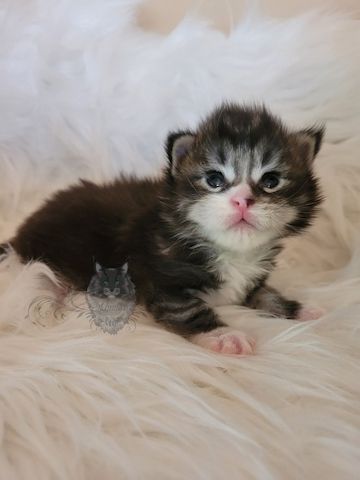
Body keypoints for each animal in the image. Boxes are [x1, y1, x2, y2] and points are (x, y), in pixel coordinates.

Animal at [9, 103, 324, 354]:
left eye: (271, 181)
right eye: (214, 179)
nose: (242, 200)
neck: (227, 251)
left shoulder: (250, 280)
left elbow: (265, 293)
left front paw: (297, 309)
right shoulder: (163, 283)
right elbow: (189, 311)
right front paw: (225, 334)